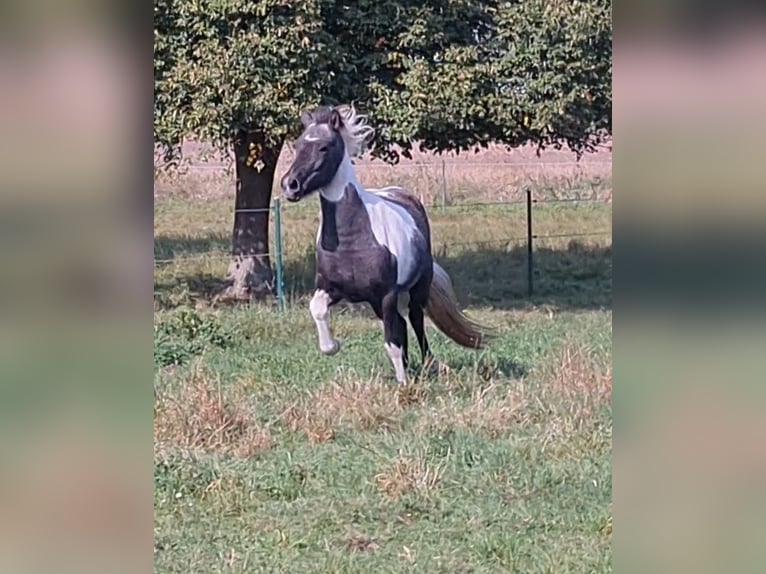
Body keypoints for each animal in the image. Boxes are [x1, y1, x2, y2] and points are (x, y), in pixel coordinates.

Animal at [280, 106, 492, 384]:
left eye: (324, 147)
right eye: (297, 145)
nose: (290, 185)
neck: (352, 240)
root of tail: (403, 194)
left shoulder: (387, 294)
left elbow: (392, 341)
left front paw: (403, 385)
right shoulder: (331, 288)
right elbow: (317, 309)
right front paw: (333, 346)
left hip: (416, 288)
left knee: (415, 319)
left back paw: (430, 365)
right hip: (376, 302)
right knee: (402, 324)